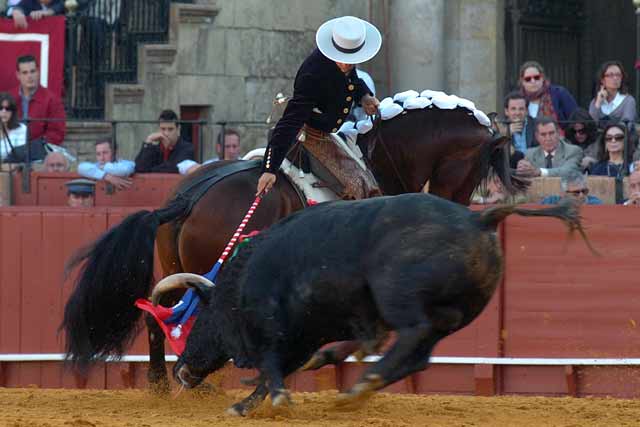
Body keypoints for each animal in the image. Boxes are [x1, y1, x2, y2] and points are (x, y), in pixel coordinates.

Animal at [151, 194, 592, 418]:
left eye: (201, 321)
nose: (182, 369)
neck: (243, 279)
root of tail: (478, 219)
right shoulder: (305, 332)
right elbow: (279, 367)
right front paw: (247, 403)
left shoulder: (273, 326)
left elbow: (271, 364)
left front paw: (264, 401)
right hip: (457, 313)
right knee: (419, 354)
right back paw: (360, 386)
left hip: (397, 295)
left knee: (412, 335)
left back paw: (362, 383)